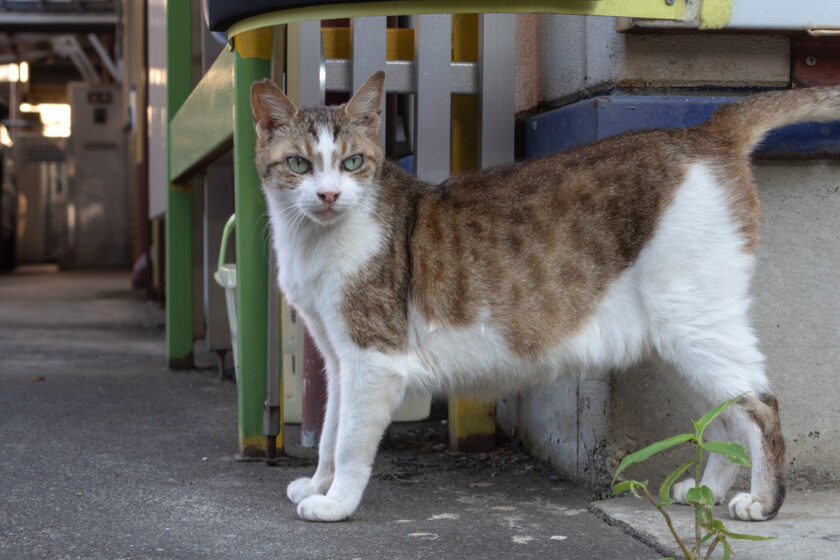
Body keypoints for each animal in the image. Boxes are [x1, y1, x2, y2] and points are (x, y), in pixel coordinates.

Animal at [249, 72, 840, 524]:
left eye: (353, 163)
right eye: (299, 164)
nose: (328, 195)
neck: (314, 241)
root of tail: (705, 129)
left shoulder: (372, 358)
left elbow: (349, 441)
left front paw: (337, 503)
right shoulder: (336, 357)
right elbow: (329, 432)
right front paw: (318, 486)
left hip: (694, 322)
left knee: (759, 406)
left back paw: (762, 502)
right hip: (675, 340)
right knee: (722, 416)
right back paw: (707, 491)